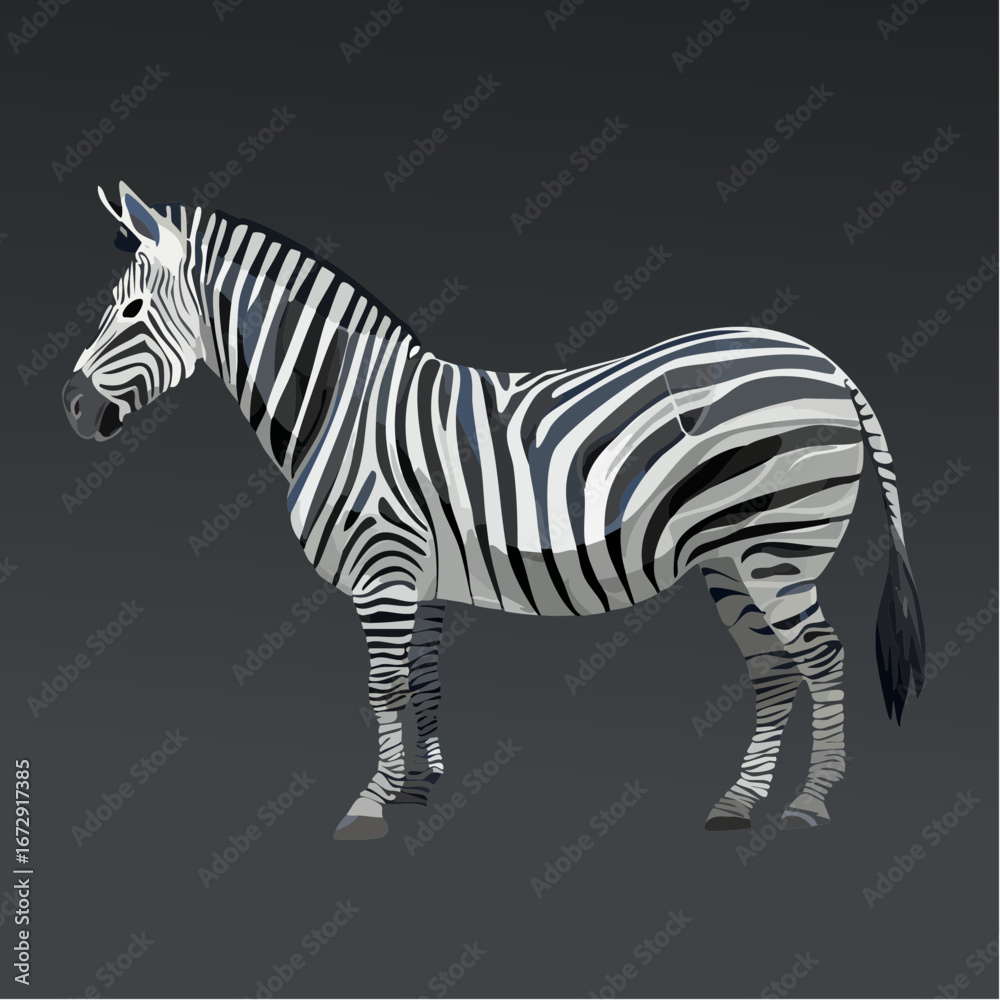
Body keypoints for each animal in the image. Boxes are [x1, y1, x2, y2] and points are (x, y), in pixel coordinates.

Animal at [63, 181, 925, 841]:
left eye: (130, 311)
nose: (70, 408)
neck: (339, 405)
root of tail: (826, 363)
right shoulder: (419, 576)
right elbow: (422, 680)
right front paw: (418, 789)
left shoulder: (383, 565)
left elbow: (381, 686)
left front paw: (369, 805)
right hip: (730, 559)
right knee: (773, 672)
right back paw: (738, 803)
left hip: (778, 547)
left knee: (821, 659)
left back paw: (811, 804)